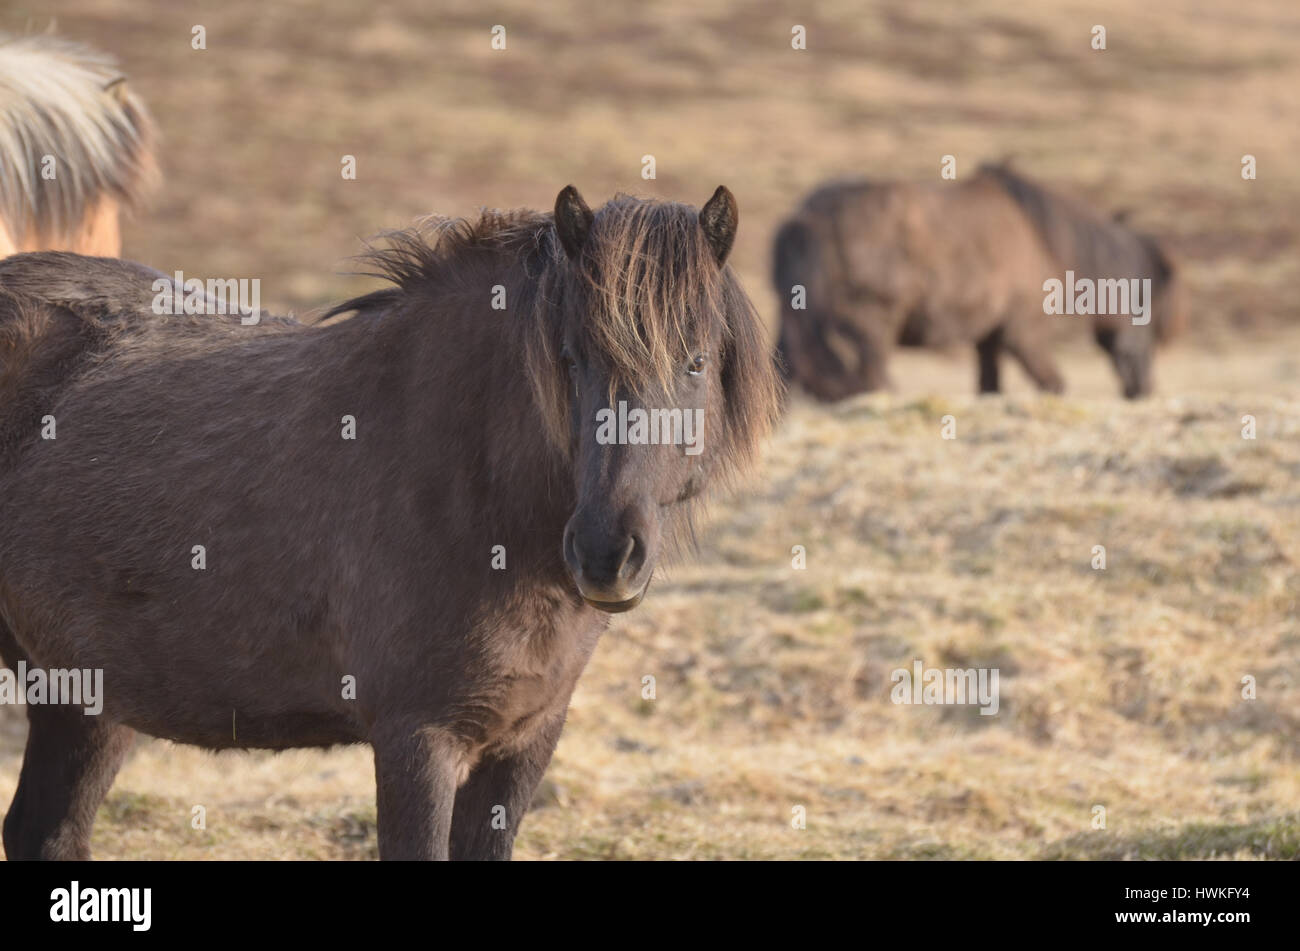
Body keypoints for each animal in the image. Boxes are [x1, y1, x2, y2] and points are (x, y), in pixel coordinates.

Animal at [0, 186, 781, 860]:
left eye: (695, 362)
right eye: (570, 358)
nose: (605, 553)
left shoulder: (523, 744)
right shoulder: (417, 741)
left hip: (85, 699)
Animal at [773, 163, 1185, 401]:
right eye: (1146, 305)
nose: (1143, 389)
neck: (1040, 237)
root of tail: (806, 217)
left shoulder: (989, 339)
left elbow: (990, 388)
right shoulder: (1024, 335)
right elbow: (1053, 385)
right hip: (872, 328)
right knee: (873, 379)